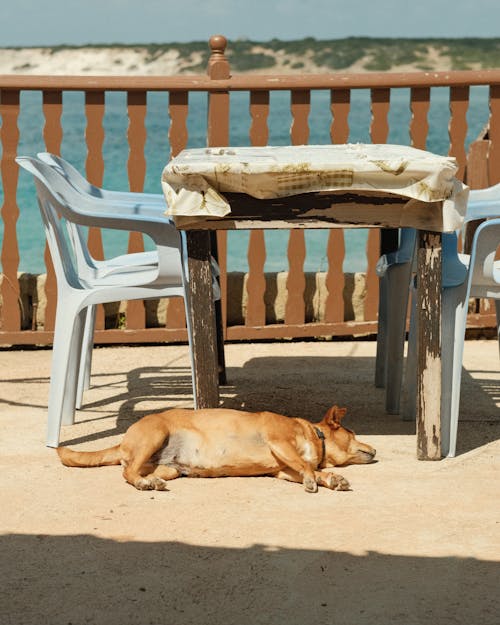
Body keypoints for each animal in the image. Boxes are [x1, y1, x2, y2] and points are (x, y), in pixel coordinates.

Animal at [56, 404, 376, 492]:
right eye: (352, 432)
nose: (375, 450)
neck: (313, 434)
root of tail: (122, 441)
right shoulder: (280, 443)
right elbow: (306, 465)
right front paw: (316, 479)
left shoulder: (283, 470)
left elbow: (307, 467)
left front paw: (331, 478)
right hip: (156, 434)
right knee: (127, 473)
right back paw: (144, 484)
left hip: (170, 468)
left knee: (140, 471)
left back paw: (151, 481)